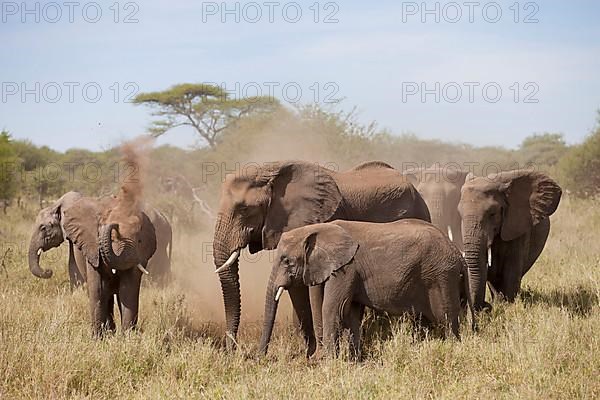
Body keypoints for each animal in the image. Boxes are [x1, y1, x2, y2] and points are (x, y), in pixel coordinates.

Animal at [29, 192, 171, 290]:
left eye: (43, 228)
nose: (48, 271)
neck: (59, 203)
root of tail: (166, 219)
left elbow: (78, 260)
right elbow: (72, 263)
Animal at [213, 160, 428, 350]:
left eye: (244, 209)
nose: (234, 350)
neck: (270, 171)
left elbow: (315, 290)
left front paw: (319, 353)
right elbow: (297, 289)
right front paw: (309, 353)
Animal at [258, 220, 474, 358]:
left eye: (286, 261)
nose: (260, 359)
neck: (318, 229)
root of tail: (459, 256)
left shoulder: (346, 268)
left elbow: (334, 309)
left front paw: (328, 363)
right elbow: (352, 312)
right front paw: (354, 360)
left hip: (441, 278)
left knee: (446, 319)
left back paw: (454, 349)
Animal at [460, 169, 564, 310]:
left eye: (492, 214)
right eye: (460, 214)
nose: (486, 306)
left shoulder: (518, 227)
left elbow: (511, 271)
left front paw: (507, 307)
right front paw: (500, 305)